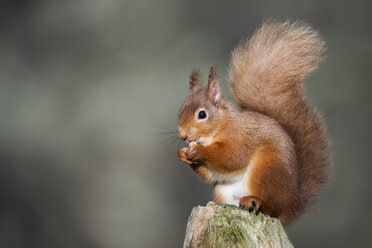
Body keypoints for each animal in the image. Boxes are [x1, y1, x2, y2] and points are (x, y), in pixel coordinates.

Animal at [177, 21, 332, 227]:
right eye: (180, 110)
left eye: (202, 114)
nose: (183, 135)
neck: (223, 126)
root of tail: (294, 205)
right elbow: (211, 173)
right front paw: (183, 154)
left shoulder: (240, 138)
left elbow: (232, 157)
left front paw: (200, 151)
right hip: (224, 190)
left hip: (267, 169)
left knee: (273, 208)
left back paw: (255, 200)